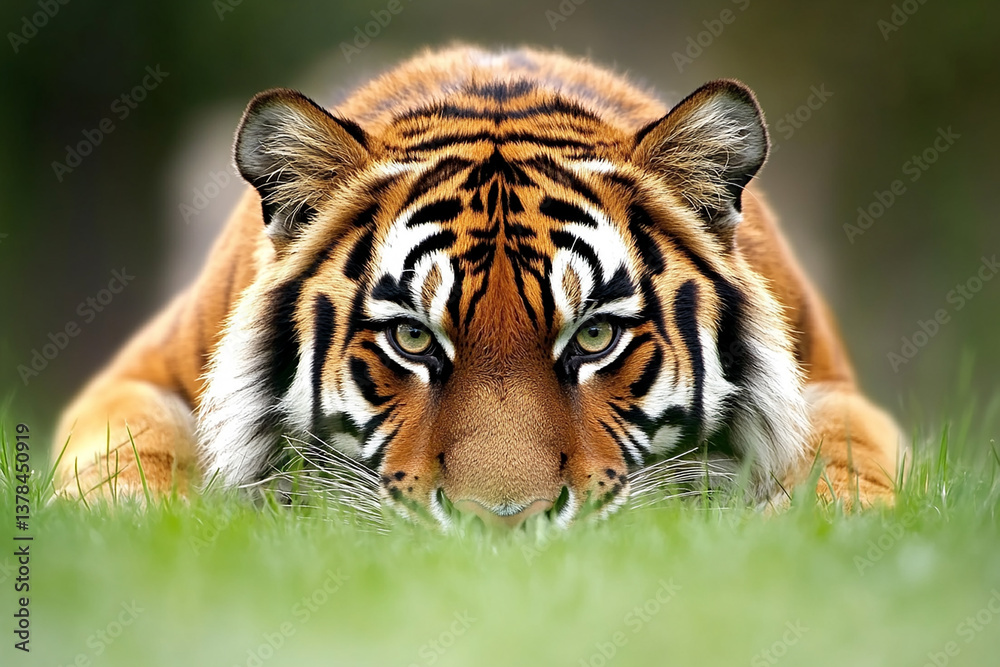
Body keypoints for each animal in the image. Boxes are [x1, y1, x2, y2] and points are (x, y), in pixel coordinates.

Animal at [53, 46, 902, 527]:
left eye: (595, 335)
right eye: (412, 338)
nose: (501, 524)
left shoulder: (833, 388)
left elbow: (847, 455)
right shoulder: (142, 375)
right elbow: (127, 453)